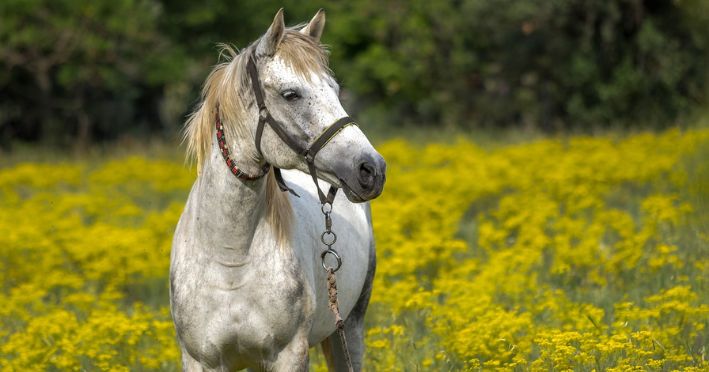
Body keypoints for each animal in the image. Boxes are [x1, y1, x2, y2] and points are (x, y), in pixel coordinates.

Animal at [169, 8, 384, 372]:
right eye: (291, 94)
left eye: (335, 89)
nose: (371, 169)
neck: (231, 259)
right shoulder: (202, 360)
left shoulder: (289, 354)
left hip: (351, 327)